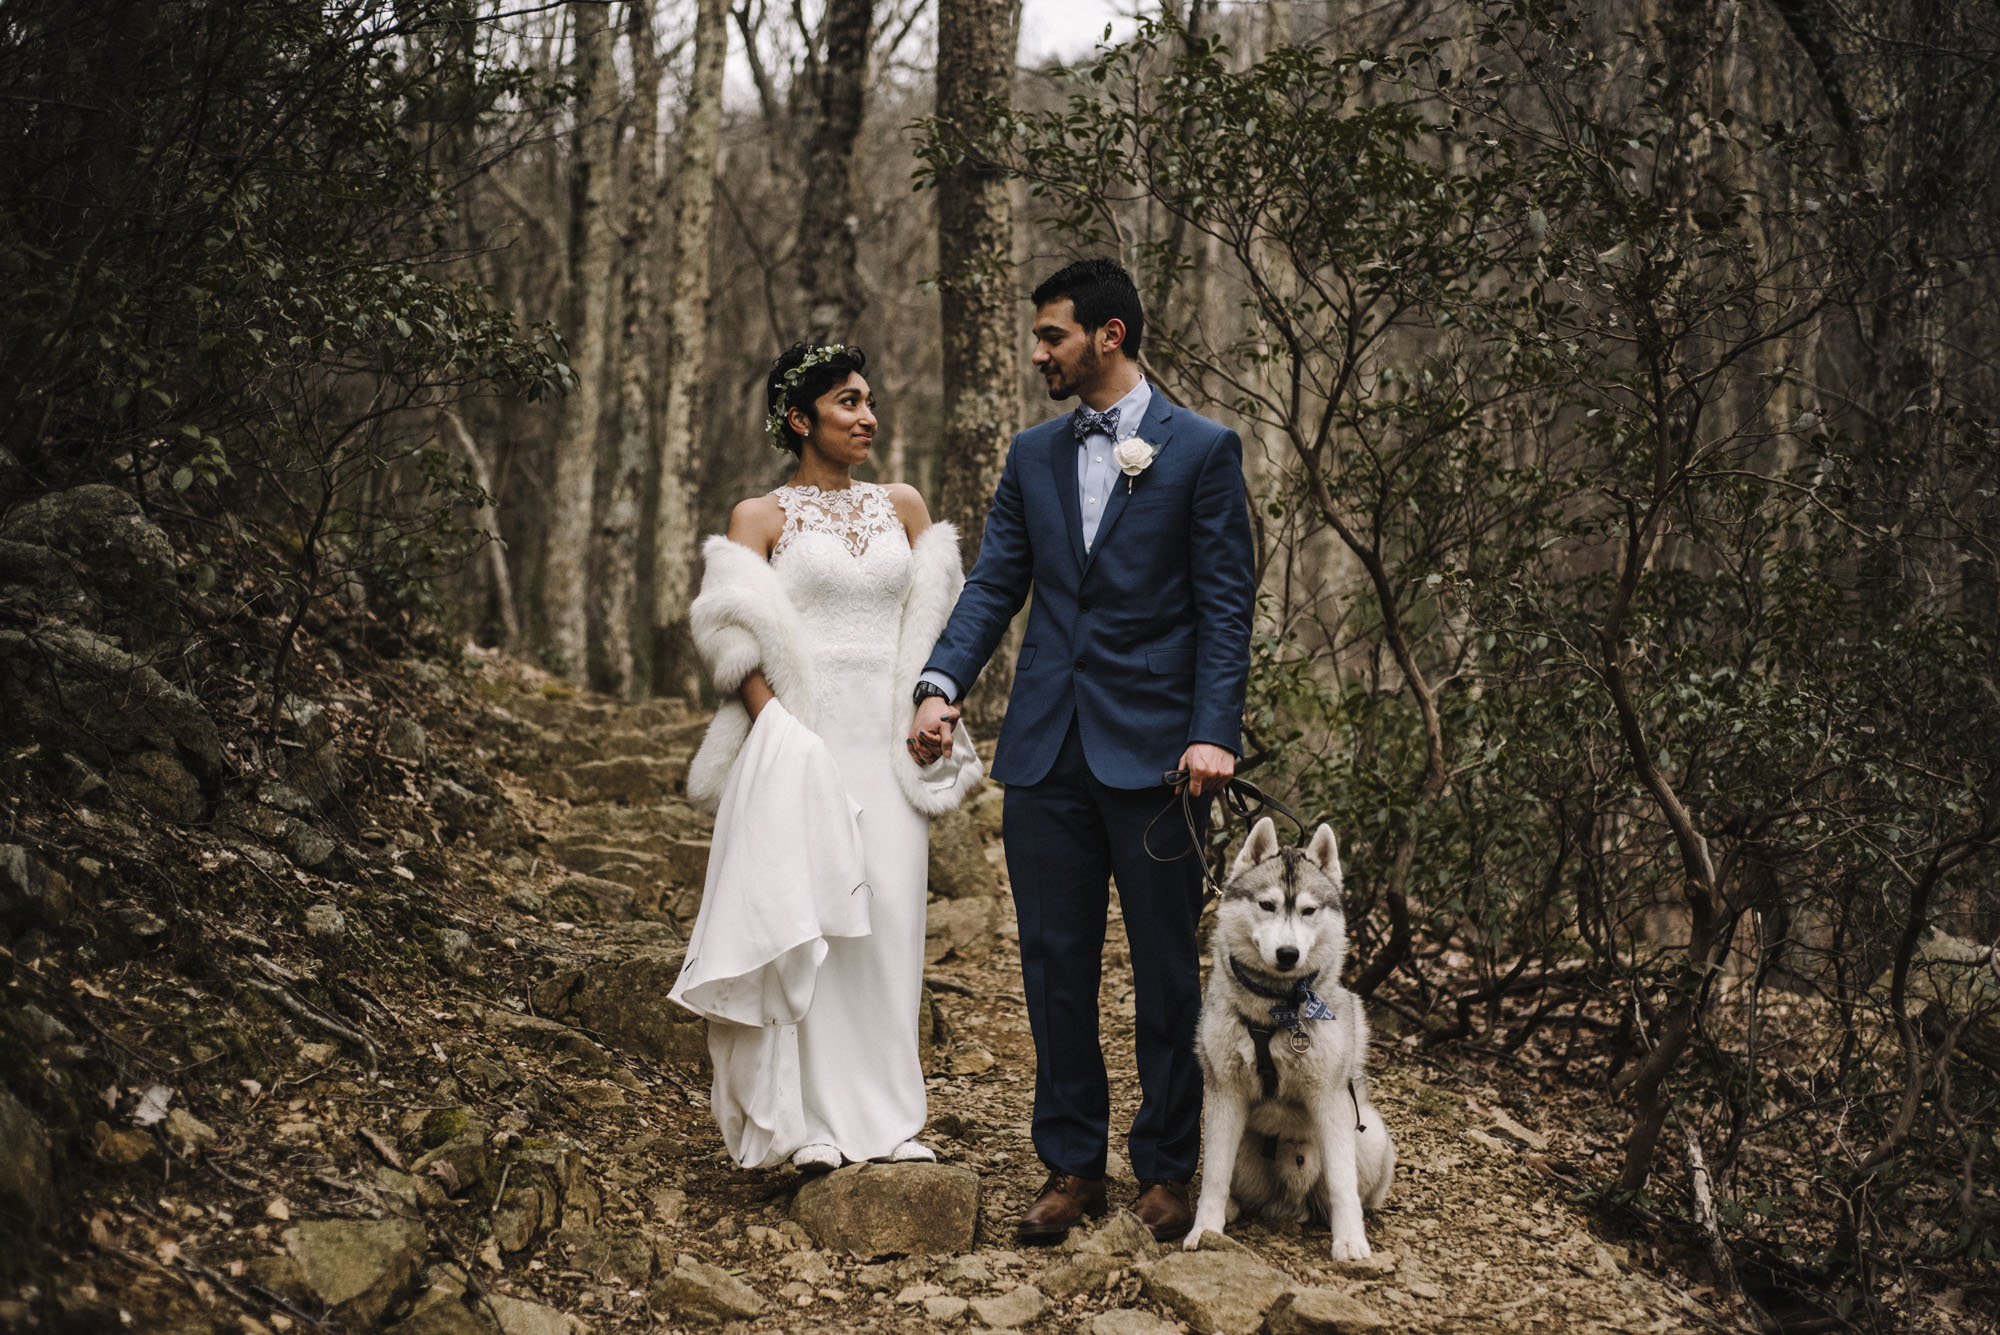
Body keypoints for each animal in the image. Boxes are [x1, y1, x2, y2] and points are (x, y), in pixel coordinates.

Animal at [1184, 815, 1392, 1263]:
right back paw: (1230, 1208)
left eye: (1309, 910)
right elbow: (1214, 1177)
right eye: (1267, 905)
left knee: (1344, 1187)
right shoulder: (1224, 1094)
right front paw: (1204, 1229)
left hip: (1368, 1132)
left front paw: (1350, 1240)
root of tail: (1289, 1202)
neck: (1275, 1010)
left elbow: (1342, 1183)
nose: (1287, 953)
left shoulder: (1330, 1099)